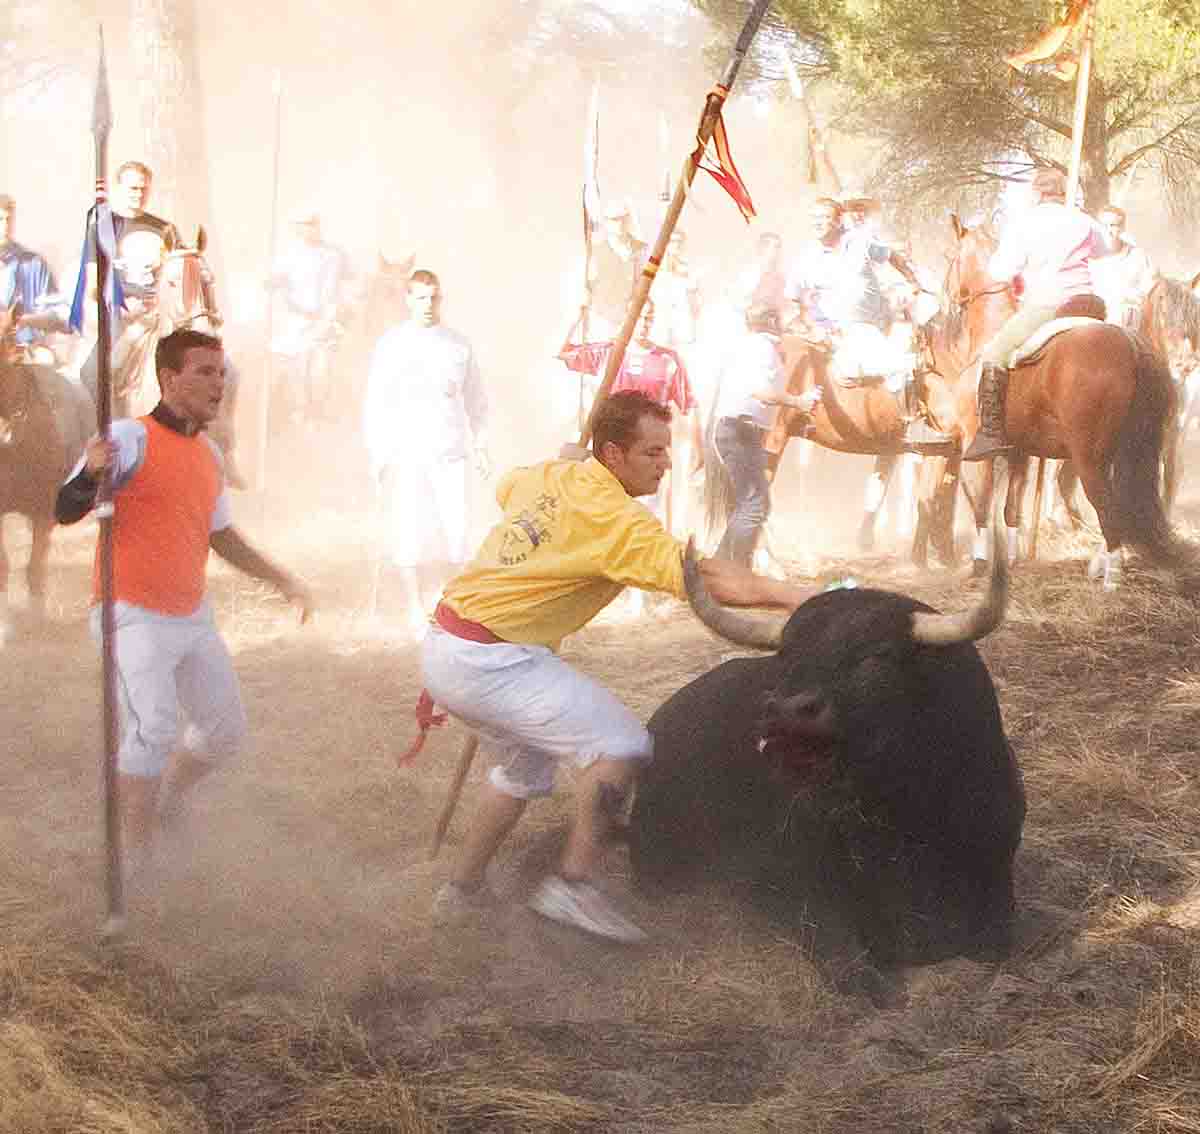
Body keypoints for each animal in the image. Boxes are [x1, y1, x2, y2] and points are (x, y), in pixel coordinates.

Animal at [940, 214, 1185, 592]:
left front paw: (979, 565)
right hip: (1124, 453)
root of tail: (1130, 345)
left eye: (952, 258)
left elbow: (980, 504)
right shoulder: (1019, 452)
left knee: (1108, 509)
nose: (944, 297)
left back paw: (1111, 578)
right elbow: (1011, 508)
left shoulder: (974, 446)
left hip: (1090, 458)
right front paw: (1012, 560)